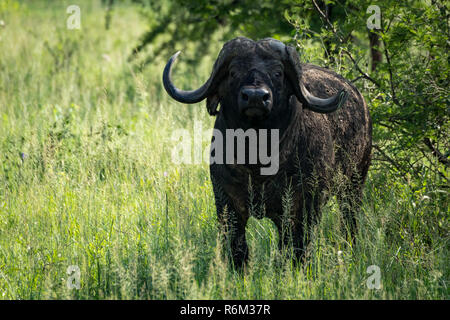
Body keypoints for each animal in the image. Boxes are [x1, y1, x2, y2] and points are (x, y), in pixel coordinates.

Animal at [163, 37, 370, 268]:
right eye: (233, 72)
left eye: (278, 73)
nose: (255, 97)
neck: (256, 158)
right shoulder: (226, 202)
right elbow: (238, 248)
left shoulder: (303, 206)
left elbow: (296, 247)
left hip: (354, 185)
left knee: (349, 222)